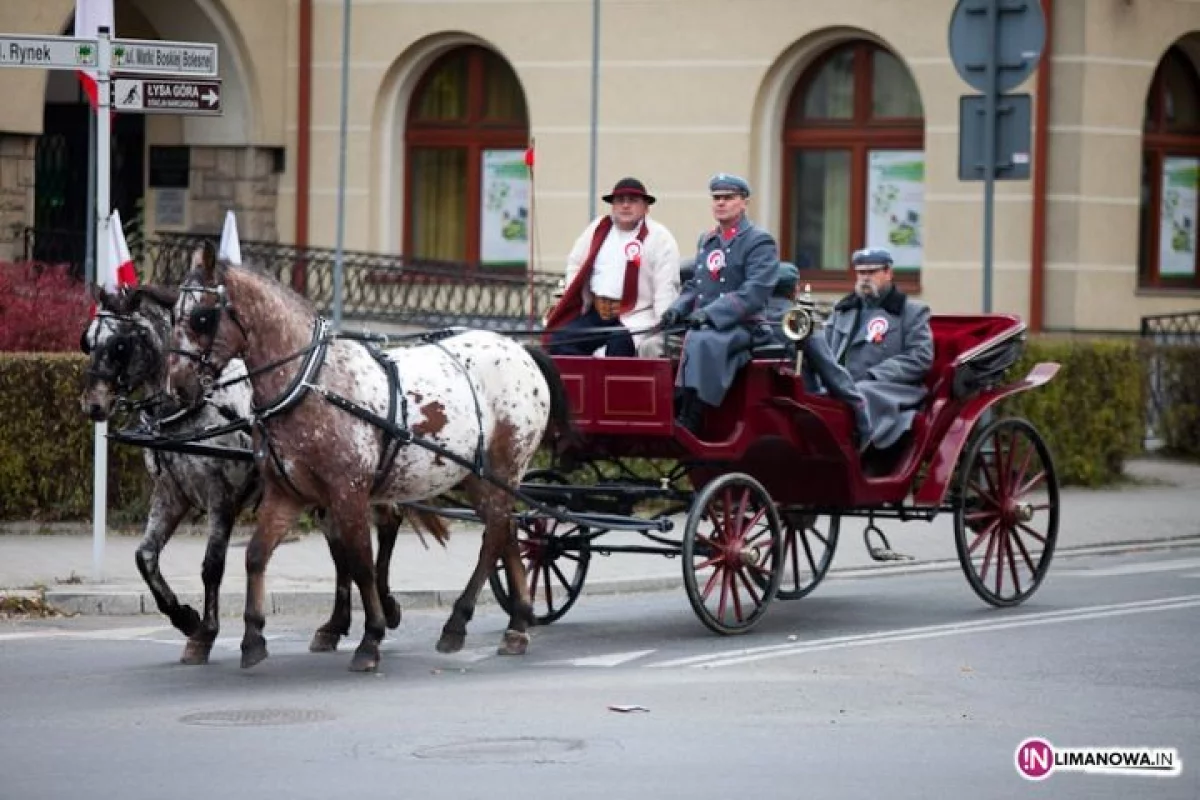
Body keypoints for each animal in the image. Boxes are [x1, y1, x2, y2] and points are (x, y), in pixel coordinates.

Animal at [166, 253, 573, 671]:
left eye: (201, 316)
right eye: (172, 313)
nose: (177, 386)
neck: (311, 381)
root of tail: (520, 350)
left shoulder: (349, 493)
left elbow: (360, 562)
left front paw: (371, 637)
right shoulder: (287, 493)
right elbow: (255, 555)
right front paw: (252, 637)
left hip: (503, 469)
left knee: (493, 538)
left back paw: (458, 623)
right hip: (479, 478)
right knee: (506, 533)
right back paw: (518, 624)